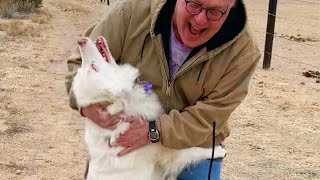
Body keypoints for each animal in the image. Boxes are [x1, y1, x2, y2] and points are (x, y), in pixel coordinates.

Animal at [72, 36, 218, 180]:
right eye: (94, 67)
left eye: (89, 67)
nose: (80, 41)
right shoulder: (166, 152)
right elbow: (192, 151)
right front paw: (218, 150)